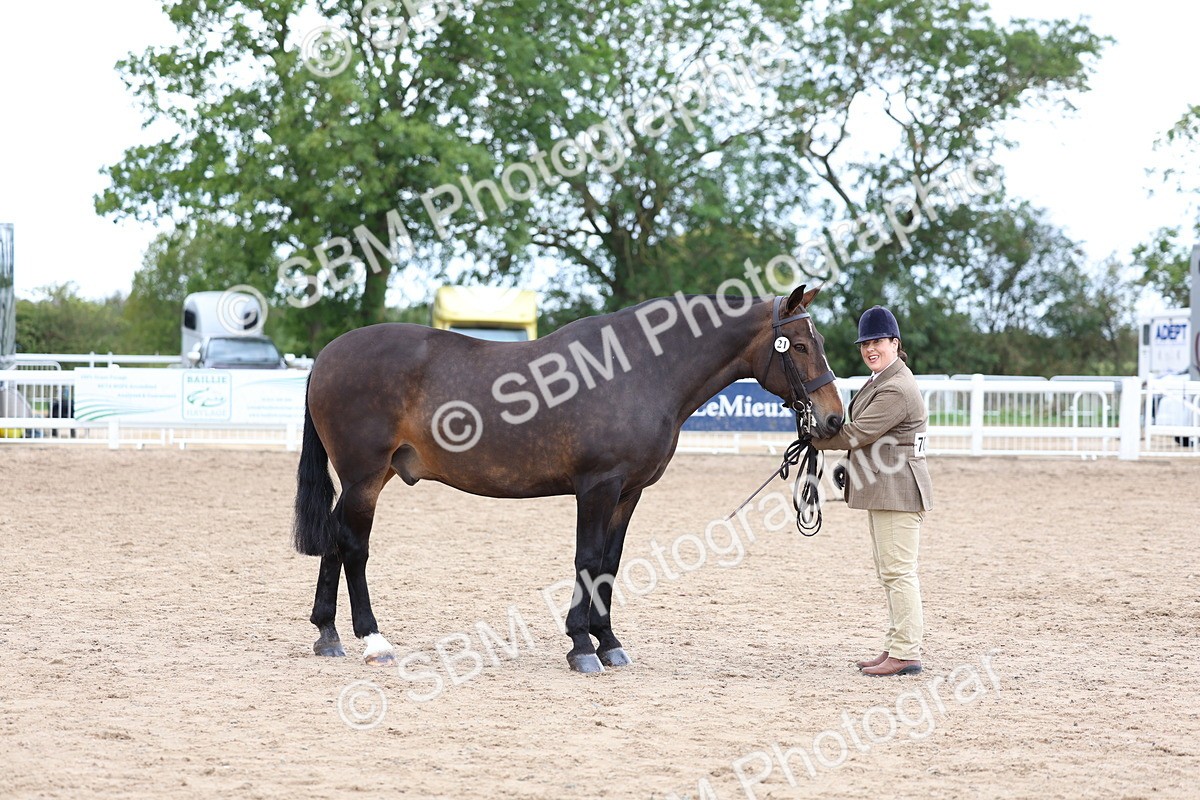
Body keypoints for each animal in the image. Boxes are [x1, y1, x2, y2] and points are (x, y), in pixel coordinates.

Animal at [292, 285, 845, 673]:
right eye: (798, 345)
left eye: (816, 341)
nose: (834, 419)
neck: (641, 370)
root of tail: (326, 356)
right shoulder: (597, 486)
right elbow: (587, 559)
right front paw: (581, 645)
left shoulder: (628, 492)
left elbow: (610, 564)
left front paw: (609, 642)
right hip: (365, 476)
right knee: (353, 546)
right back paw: (373, 641)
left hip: (370, 477)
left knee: (335, 541)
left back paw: (328, 635)